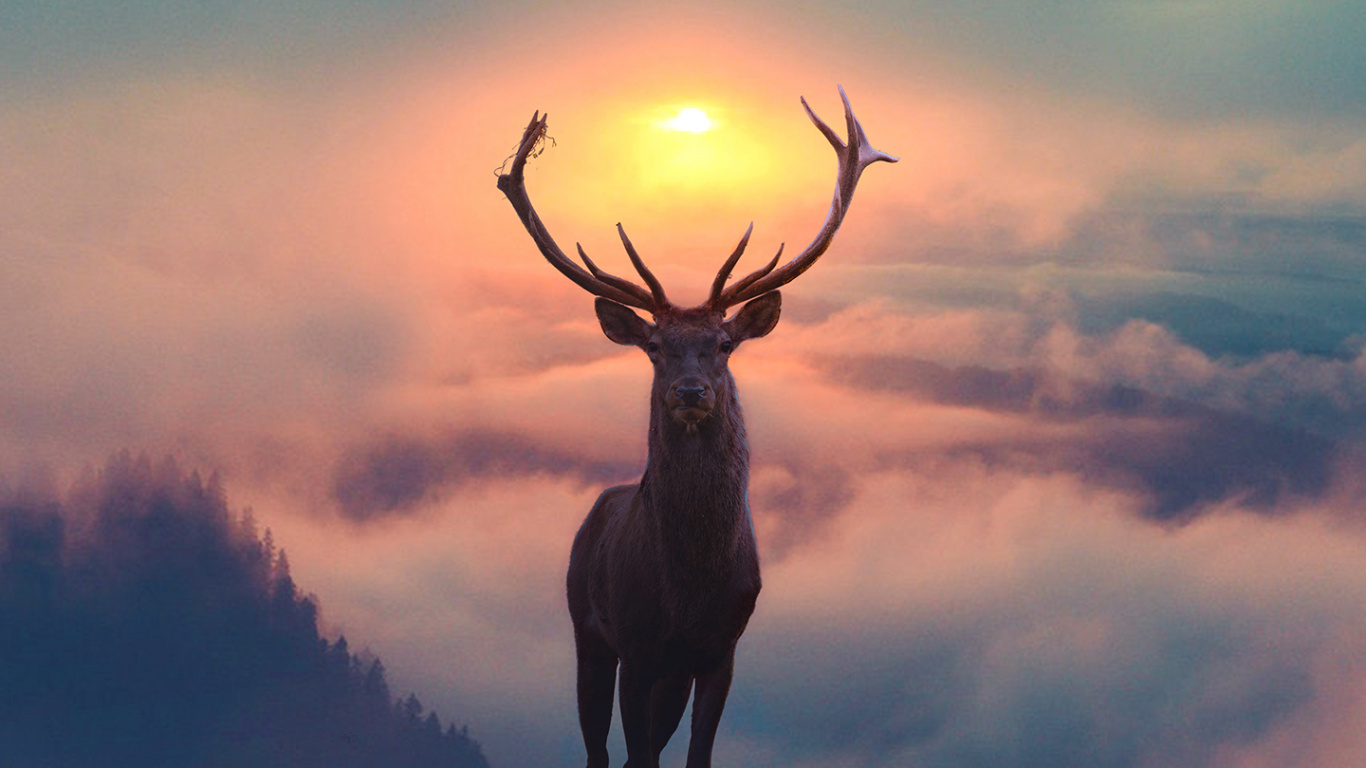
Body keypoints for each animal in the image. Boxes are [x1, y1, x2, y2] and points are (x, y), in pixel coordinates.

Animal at [497, 86, 895, 768]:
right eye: (655, 346)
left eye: (725, 343)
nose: (690, 392)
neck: (688, 591)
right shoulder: (637, 646)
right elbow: (637, 754)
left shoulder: (721, 650)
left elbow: (696, 754)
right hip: (585, 627)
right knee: (599, 746)